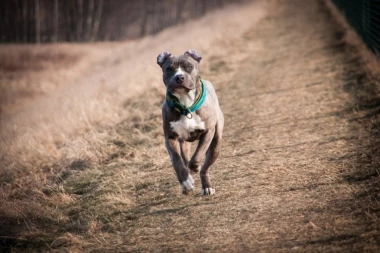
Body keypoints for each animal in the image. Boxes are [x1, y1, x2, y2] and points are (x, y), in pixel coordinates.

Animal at [157, 50, 224, 196]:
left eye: (189, 67)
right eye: (169, 69)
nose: (179, 77)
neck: (186, 105)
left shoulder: (208, 132)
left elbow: (197, 157)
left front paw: (195, 168)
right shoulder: (170, 138)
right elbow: (176, 161)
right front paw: (186, 180)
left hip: (216, 144)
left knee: (205, 168)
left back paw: (206, 186)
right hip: (184, 144)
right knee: (185, 158)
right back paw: (187, 183)